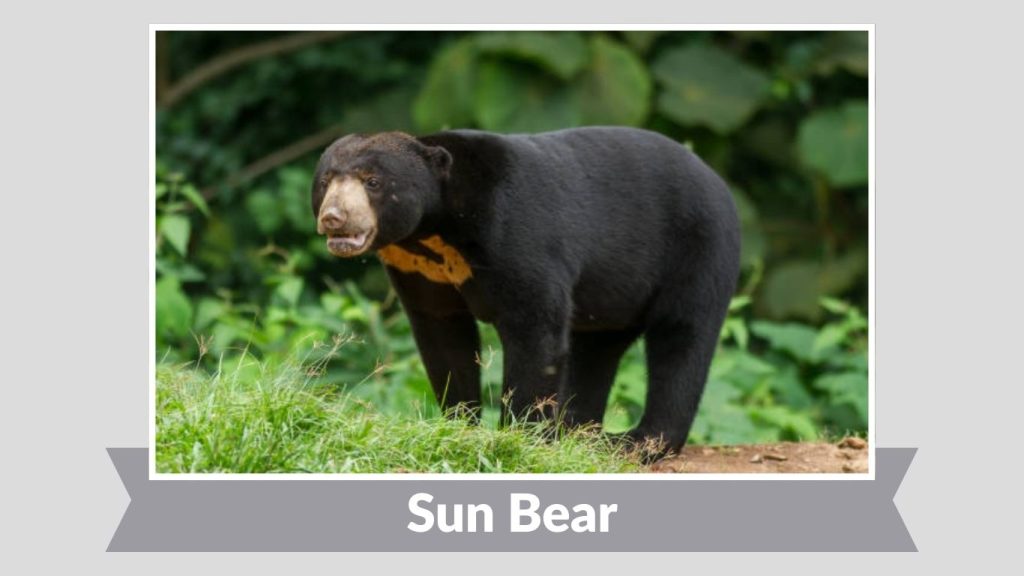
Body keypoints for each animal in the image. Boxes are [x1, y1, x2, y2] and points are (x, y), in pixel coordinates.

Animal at [311, 127, 740, 457]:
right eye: (326, 181)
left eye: (373, 181)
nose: (334, 218)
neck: (435, 231)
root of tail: (718, 180)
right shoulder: (417, 268)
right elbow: (443, 337)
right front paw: (459, 424)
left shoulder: (515, 233)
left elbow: (535, 328)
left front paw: (520, 435)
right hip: (615, 293)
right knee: (597, 348)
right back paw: (576, 431)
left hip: (697, 250)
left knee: (681, 338)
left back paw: (639, 442)